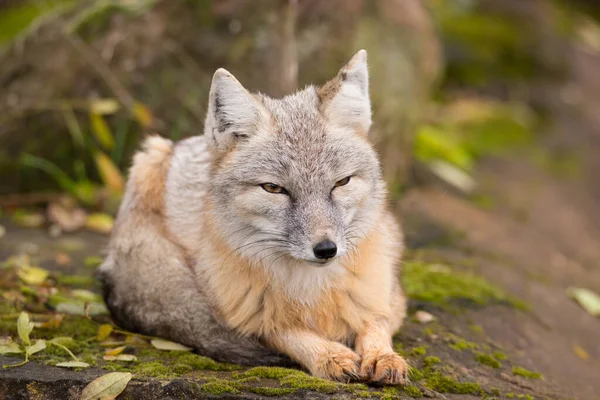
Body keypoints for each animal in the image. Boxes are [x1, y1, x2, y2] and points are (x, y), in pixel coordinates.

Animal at [97, 50, 408, 384]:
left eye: (341, 182)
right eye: (273, 188)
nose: (326, 249)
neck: (313, 288)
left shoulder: (391, 298)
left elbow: (375, 322)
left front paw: (383, 355)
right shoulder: (243, 316)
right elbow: (286, 331)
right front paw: (329, 355)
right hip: (148, 158)